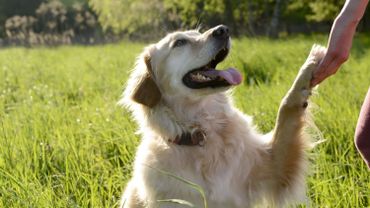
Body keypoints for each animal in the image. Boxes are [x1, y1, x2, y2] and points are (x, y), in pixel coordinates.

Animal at [120, 25, 326, 207]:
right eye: (179, 42)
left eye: (198, 33)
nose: (223, 30)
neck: (203, 134)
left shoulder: (273, 166)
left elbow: (286, 109)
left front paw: (310, 64)